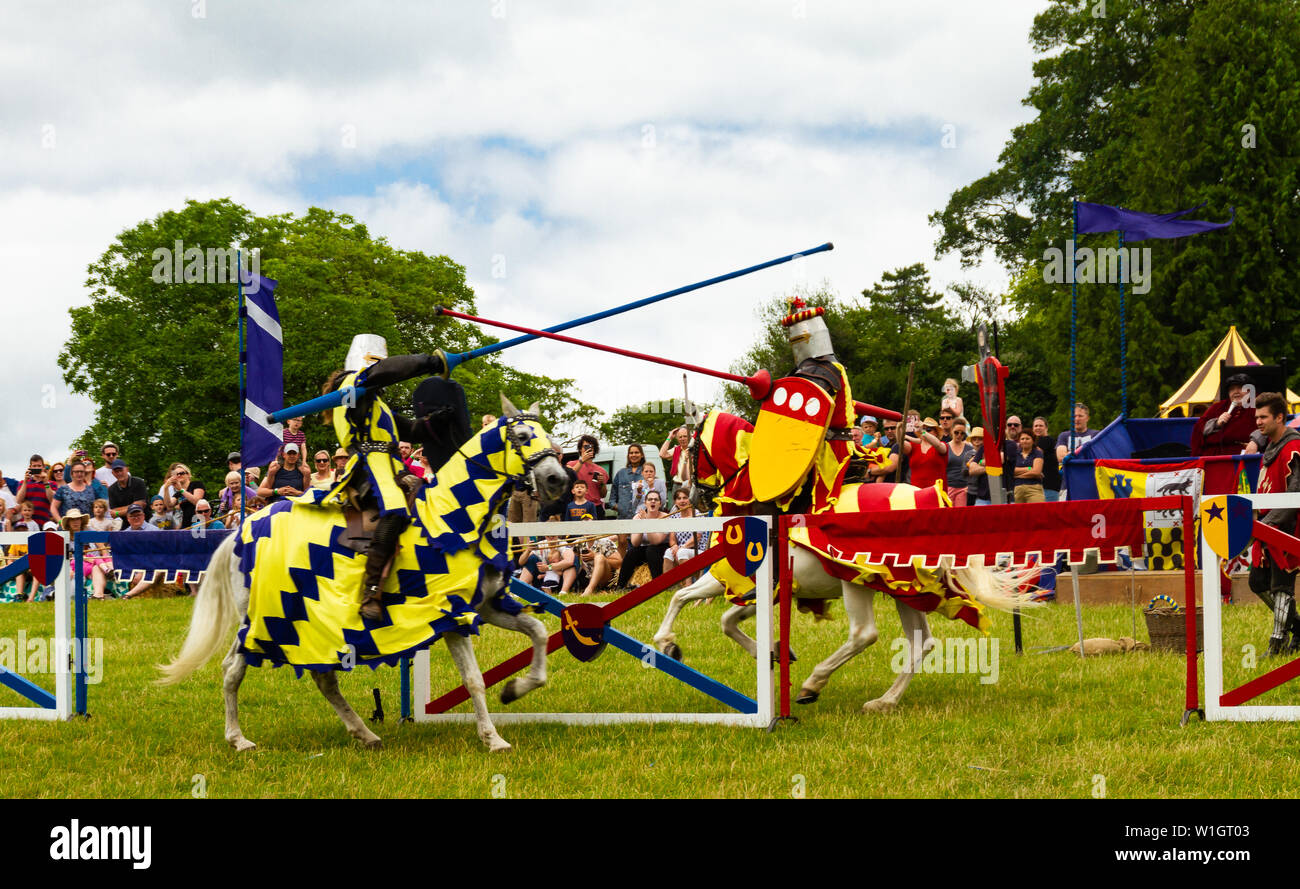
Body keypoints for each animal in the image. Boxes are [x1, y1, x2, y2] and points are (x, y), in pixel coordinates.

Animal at [158, 400, 569, 753]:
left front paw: (516, 689)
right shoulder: (452, 616)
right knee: (233, 671)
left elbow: (539, 632)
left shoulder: (485, 606)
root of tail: (242, 529)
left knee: (322, 677)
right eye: (521, 437)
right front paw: (493, 739)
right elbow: (474, 680)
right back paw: (239, 738)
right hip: (262, 619)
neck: (455, 518)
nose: (557, 480)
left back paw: (363, 733)